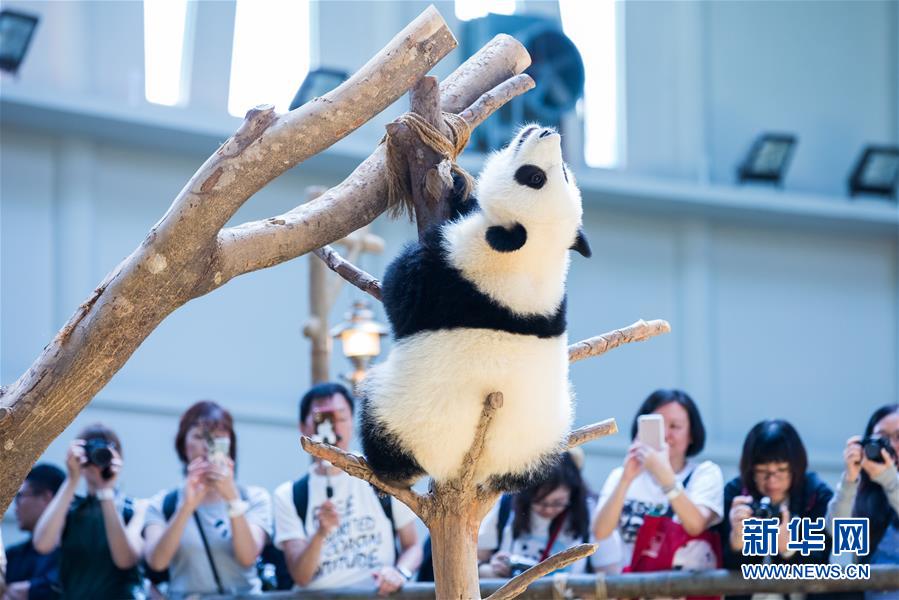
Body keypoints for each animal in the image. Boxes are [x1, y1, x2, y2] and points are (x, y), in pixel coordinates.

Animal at [359, 124, 591, 491]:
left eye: (533, 177)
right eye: (563, 175)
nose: (546, 131)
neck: (531, 256)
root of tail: (476, 465)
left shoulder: (456, 280)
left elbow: (401, 291)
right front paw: (458, 187)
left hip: (407, 414)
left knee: (378, 419)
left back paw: (387, 472)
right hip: (545, 435)